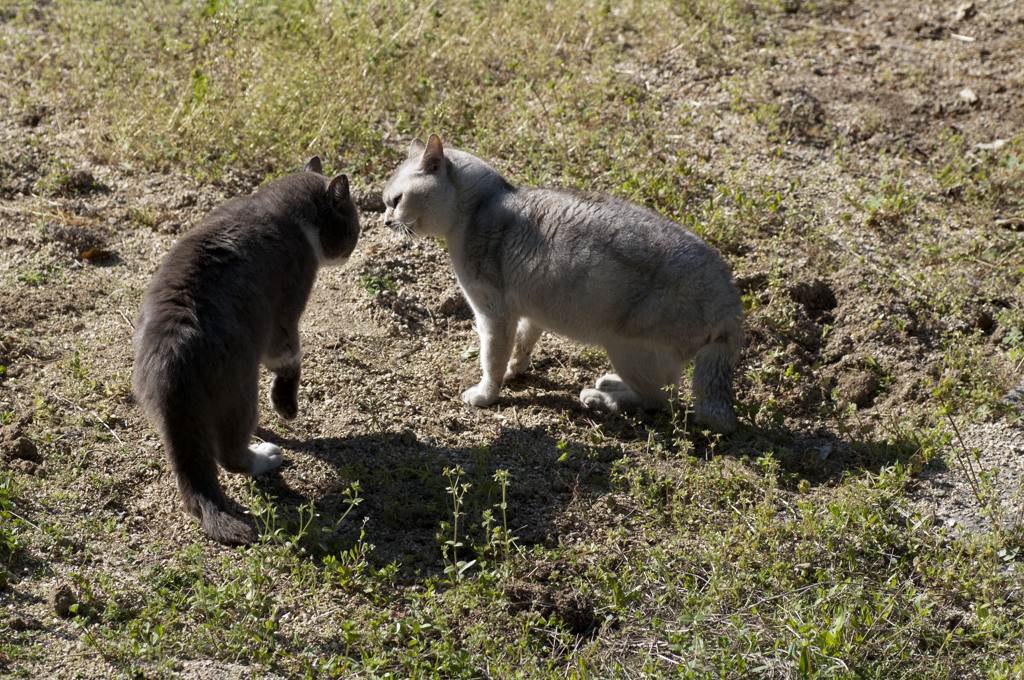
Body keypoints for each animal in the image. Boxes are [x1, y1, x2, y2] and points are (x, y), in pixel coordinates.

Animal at [133, 156, 360, 544]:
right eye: (355, 225)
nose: (351, 251)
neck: (277, 208)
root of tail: (171, 353)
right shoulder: (283, 317)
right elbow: (289, 359)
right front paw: (286, 407)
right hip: (238, 389)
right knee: (230, 454)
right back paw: (267, 456)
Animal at [380, 136, 741, 432]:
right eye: (385, 202)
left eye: (396, 201)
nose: (384, 221)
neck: (482, 204)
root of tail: (730, 304)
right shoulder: (528, 314)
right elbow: (520, 346)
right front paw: (514, 369)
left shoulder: (493, 316)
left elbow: (491, 361)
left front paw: (486, 394)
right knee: (666, 390)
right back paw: (611, 387)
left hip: (624, 348)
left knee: (661, 400)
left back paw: (603, 398)